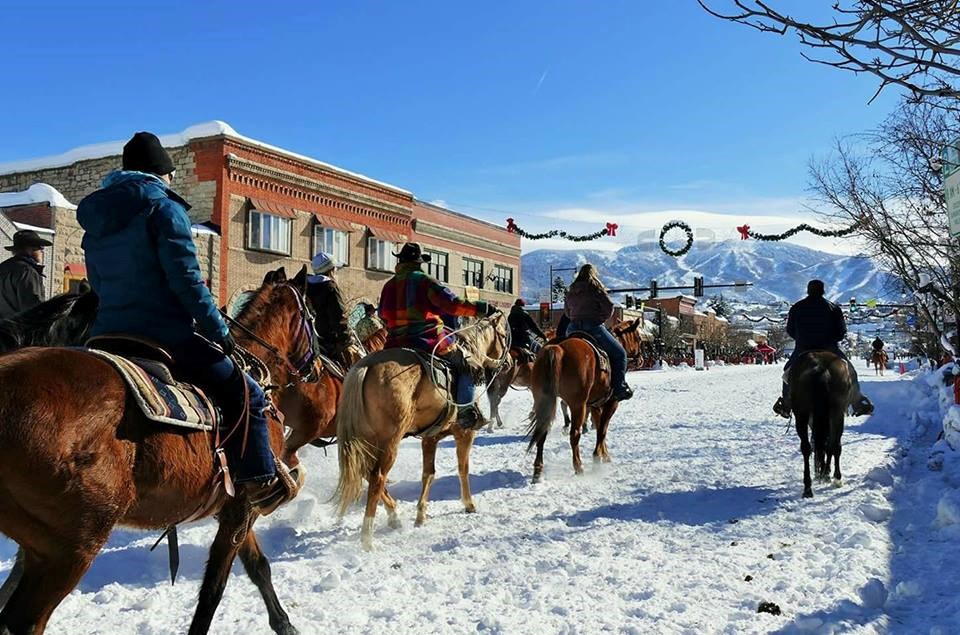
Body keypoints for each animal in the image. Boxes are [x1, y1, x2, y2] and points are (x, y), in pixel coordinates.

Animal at [0, 270, 318, 635]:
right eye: (312, 315)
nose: (318, 366)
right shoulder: (242, 507)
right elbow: (213, 589)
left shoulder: (236, 507)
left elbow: (258, 566)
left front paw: (284, 624)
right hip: (71, 549)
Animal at [332, 314, 510, 552]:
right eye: (503, 335)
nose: (508, 362)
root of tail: (365, 367)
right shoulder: (464, 433)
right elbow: (463, 469)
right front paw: (469, 504)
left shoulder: (430, 437)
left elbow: (429, 473)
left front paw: (420, 514)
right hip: (389, 442)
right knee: (377, 477)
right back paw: (367, 537)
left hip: (366, 440)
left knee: (365, 473)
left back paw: (394, 516)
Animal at [524, 338, 624, 482]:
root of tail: (558, 349)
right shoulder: (611, 403)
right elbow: (602, 431)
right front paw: (598, 458)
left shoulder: (595, 406)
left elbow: (600, 428)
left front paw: (604, 455)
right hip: (578, 405)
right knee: (575, 434)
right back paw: (579, 468)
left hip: (543, 401)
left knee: (542, 433)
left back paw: (537, 471)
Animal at [792, 350, 852, 500]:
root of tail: (821, 368)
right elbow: (828, 446)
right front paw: (826, 473)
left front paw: (823, 473)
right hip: (837, 413)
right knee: (835, 445)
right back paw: (837, 478)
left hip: (802, 414)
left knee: (807, 448)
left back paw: (808, 487)